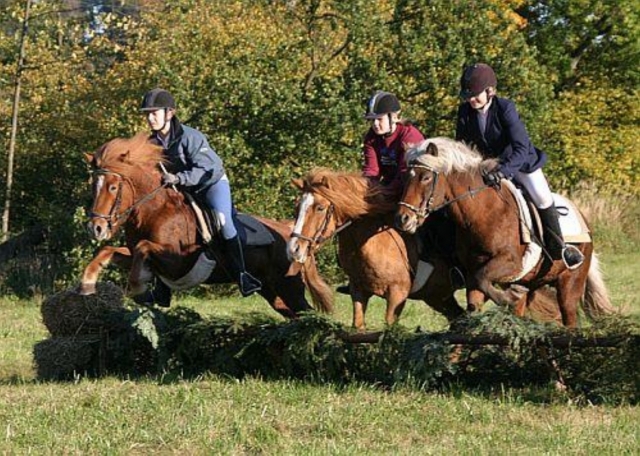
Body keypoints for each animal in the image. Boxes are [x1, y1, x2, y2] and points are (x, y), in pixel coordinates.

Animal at [79, 132, 336, 318]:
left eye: (113, 187)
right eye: (93, 185)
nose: (96, 228)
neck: (154, 211)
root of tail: (294, 236)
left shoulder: (178, 263)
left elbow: (143, 248)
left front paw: (139, 289)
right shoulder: (136, 254)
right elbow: (109, 251)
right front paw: (87, 285)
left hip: (289, 286)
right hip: (272, 292)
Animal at [396, 137, 616, 326]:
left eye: (425, 177)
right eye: (406, 178)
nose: (403, 219)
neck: (482, 214)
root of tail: (583, 219)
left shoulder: (511, 262)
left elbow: (483, 278)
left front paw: (508, 297)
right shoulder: (473, 271)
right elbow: (476, 294)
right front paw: (510, 297)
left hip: (570, 282)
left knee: (569, 317)